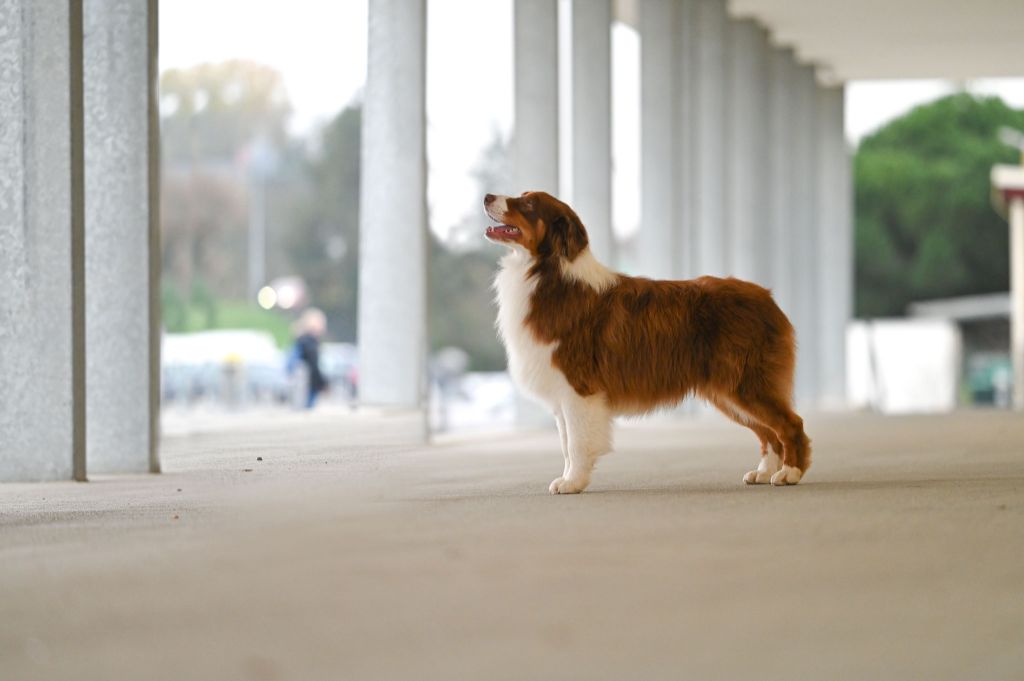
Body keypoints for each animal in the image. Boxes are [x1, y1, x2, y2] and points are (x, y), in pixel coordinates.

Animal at [483, 191, 811, 493]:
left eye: (528, 204)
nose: (486, 197)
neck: (545, 273)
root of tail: (767, 297)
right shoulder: (562, 393)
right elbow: (565, 443)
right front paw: (568, 477)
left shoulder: (578, 388)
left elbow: (576, 443)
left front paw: (573, 482)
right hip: (729, 390)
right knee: (767, 433)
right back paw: (764, 472)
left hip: (747, 382)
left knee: (790, 424)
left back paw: (789, 473)